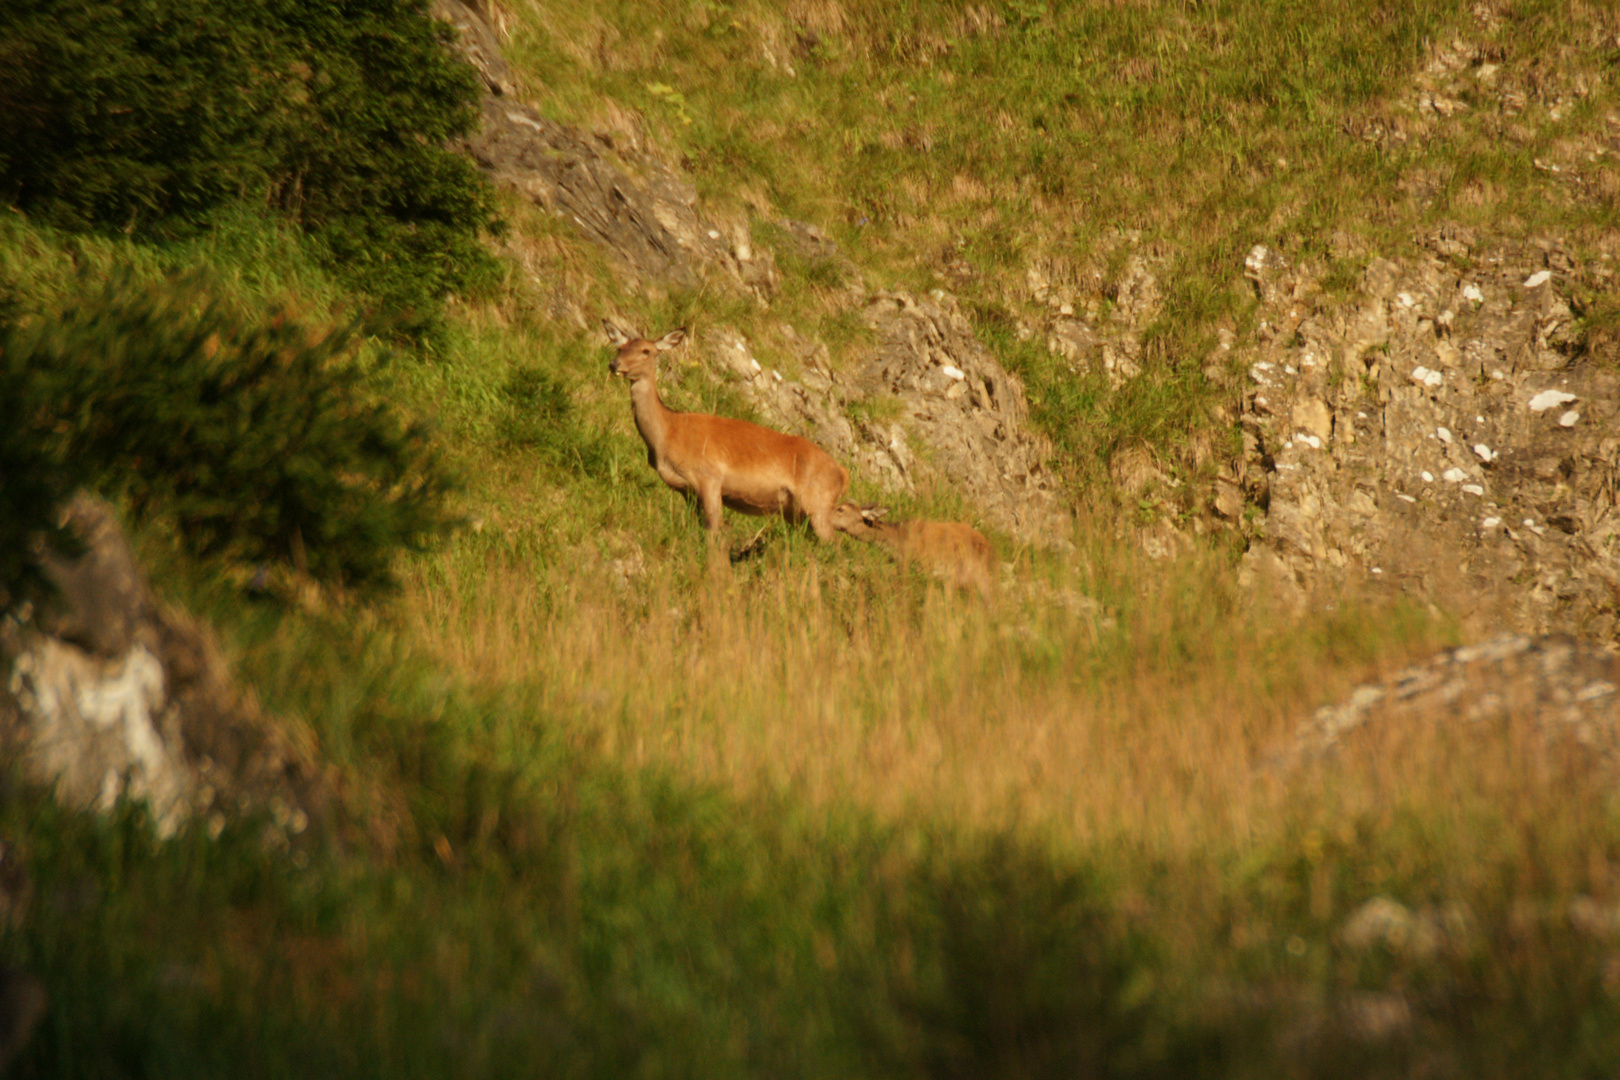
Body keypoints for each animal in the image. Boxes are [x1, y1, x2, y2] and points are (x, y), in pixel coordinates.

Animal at [609, 318, 855, 544]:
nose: (614, 364)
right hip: (796, 511)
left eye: (646, 350)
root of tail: (843, 473)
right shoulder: (685, 490)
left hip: (818, 501)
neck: (668, 433)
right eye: (620, 347)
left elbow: (712, 530)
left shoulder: (709, 476)